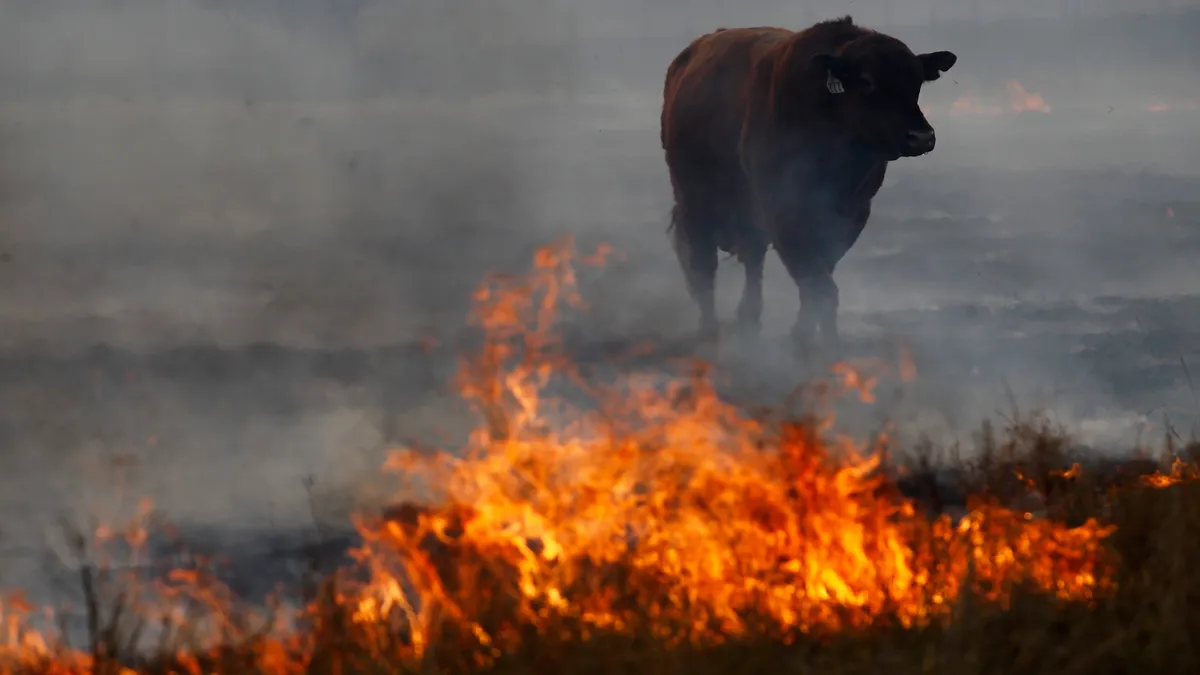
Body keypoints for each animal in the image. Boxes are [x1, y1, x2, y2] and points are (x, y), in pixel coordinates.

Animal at [657, 17, 955, 353]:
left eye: (917, 82)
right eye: (866, 81)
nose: (922, 137)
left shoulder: (851, 214)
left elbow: (820, 274)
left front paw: (806, 335)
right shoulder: (784, 209)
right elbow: (816, 280)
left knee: (752, 259)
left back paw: (749, 319)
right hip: (694, 201)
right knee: (704, 265)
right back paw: (709, 331)